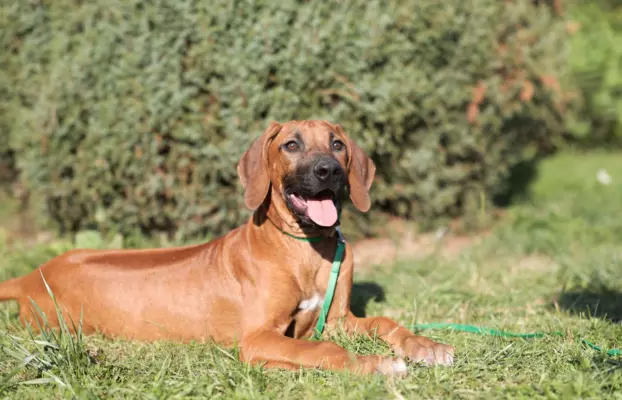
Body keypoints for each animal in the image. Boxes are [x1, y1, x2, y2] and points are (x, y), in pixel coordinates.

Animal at [1, 119, 458, 376]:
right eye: (291, 145)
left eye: (337, 144)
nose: (327, 170)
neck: (304, 246)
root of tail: (33, 274)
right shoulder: (258, 337)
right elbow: (325, 349)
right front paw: (376, 364)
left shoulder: (337, 318)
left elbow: (384, 321)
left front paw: (425, 346)